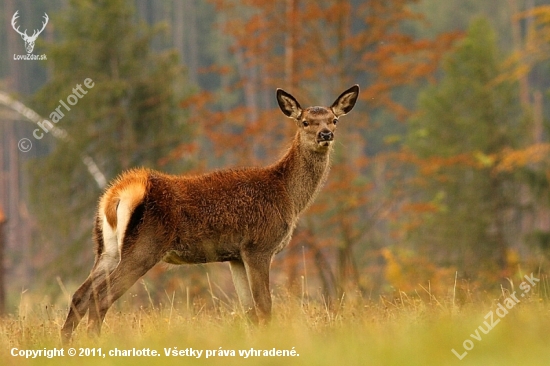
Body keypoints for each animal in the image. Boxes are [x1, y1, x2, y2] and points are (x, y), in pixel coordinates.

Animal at [61, 84, 362, 342]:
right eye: (305, 122)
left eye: (334, 120)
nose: (326, 134)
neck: (288, 197)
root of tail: (117, 193)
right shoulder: (259, 246)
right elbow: (265, 307)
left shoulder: (236, 256)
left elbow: (250, 311)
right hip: (144, 246)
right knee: (100, 299)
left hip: (106, 248)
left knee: (79, 296)